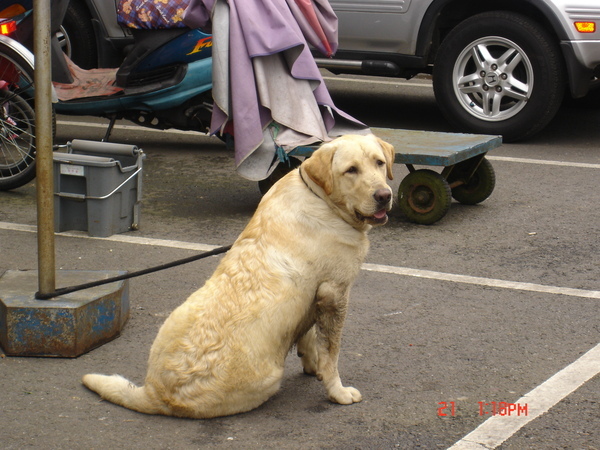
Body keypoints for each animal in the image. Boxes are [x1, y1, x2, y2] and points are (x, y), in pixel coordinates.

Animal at [82, 134, 396, 418]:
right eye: (351, 170)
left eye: (379, 163)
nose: (384, 196)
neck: (320, 197)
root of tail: (153, 393)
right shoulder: (335, 292)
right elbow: (332, 352)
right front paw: (337, 391)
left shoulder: (316, 293)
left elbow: (309, 337)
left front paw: (313, 365)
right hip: (268, 378)